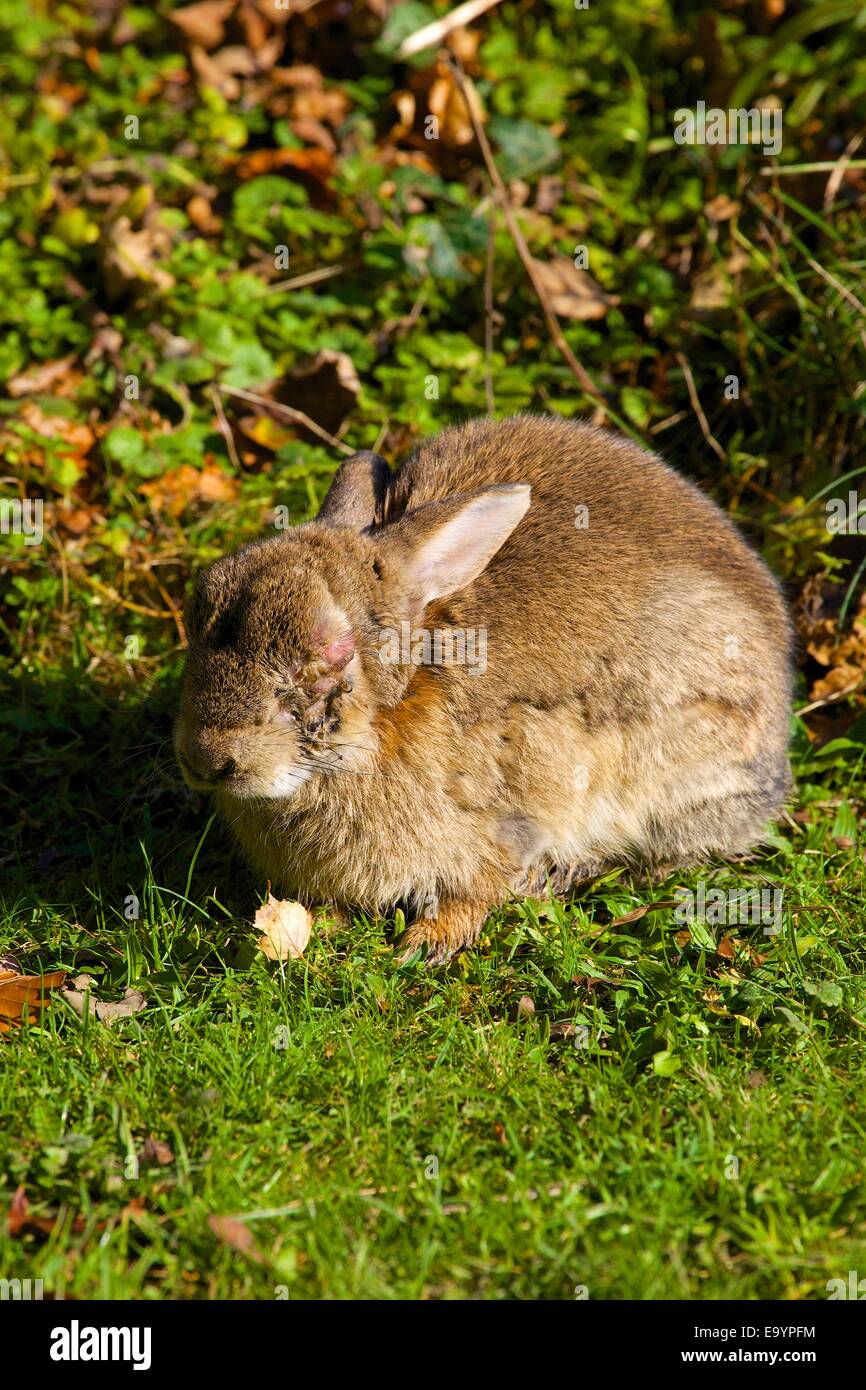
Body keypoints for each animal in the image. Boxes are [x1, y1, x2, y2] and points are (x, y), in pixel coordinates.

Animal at [176, 405, 795, 961]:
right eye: (197, 604)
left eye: (336, 652)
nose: (207, 759)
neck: (390, 715)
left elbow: (477, 887)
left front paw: (426, 944)